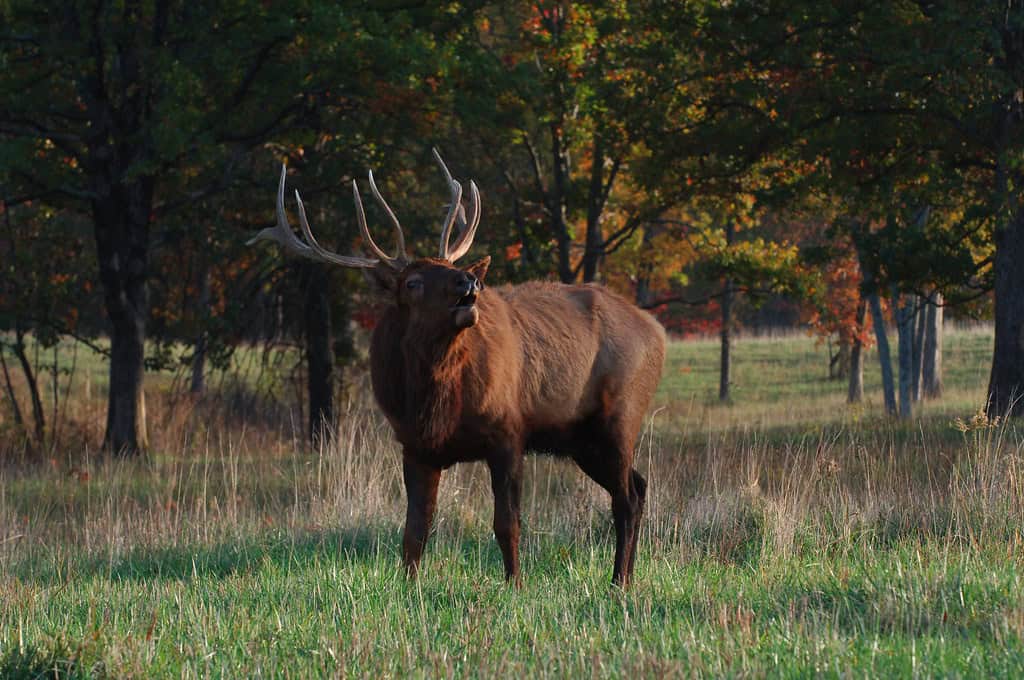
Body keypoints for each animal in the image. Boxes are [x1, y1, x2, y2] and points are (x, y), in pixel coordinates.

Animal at [249, 150, 666, 587]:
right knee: (638, 486)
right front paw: (409, 586)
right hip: (580, 440)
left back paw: (618, 583)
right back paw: (624, 578)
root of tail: (657, 331)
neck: (436, 407)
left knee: (626, 498)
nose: (468, 281)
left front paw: (515, 585)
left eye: (449, 268)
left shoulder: (508, 432)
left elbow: (507, 524)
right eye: (412, 282)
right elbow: (415, 529)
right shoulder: (416, 446)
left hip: (620, 418)